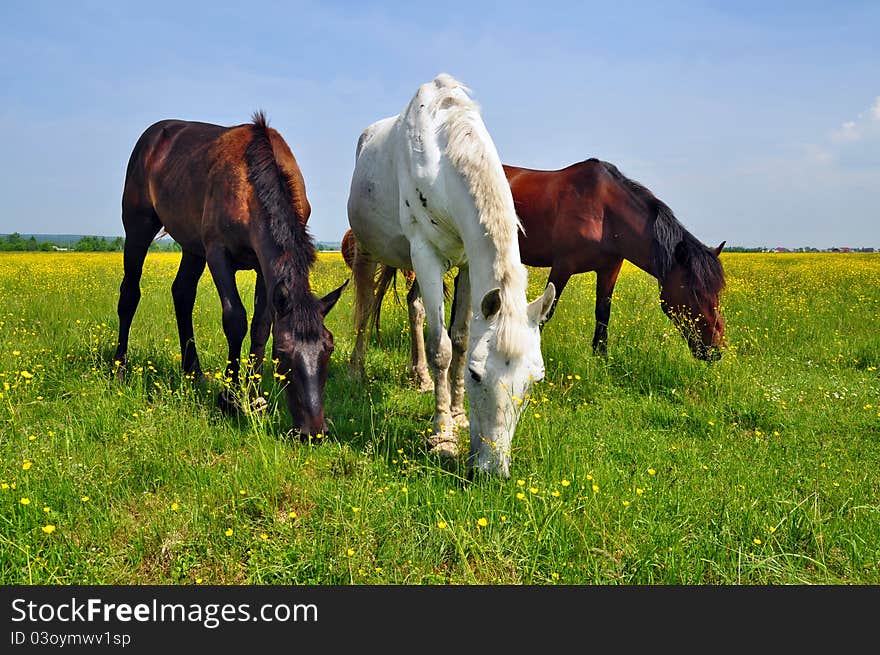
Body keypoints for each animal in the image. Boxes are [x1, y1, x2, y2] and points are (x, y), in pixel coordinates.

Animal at [115, 111, 348, 440]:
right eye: (283, 353)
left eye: (329, 348)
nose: (313, 433)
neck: (252, 185)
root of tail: (154, 136)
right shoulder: (218, 253)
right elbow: (235, 319)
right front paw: (229, 398)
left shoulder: (264, 267)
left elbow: (261, 324)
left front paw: (254, 396)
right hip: (139, 225)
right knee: (130, 294)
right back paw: (120, 370)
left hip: (192, 247)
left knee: (182, 293)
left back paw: (194, 373)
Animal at [348, 74, 552, 480]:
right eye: (476, 375)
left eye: (534, 380)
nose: (493, 471)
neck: (441, 158)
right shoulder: (425, 254)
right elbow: (440, 347)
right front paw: (442, 434)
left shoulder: (467, 265)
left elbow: (459, 338)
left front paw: (457, 415)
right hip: (368, 249)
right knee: (364, 307)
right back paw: (357, 370)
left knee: (414, 307)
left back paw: (420, 378)